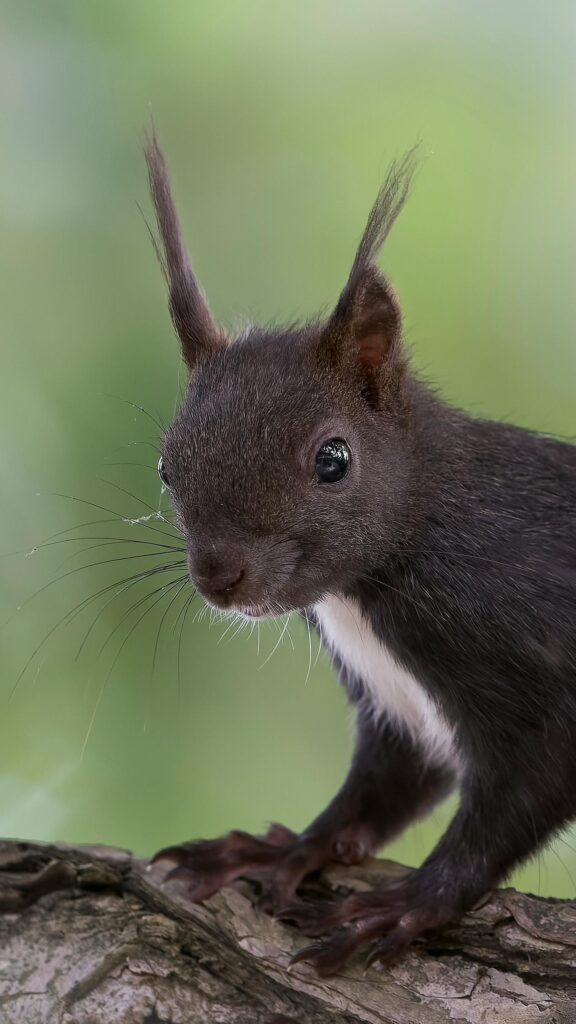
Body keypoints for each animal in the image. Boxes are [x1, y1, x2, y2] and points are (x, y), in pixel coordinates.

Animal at [144, 132, 576, 975]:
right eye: (165, 467)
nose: (218, 578)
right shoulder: (396, 705)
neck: (366, 587)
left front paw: (410, 904)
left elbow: (522, 793)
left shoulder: (531, 648)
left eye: (334, 459)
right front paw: (285, 850)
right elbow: (381, 789)